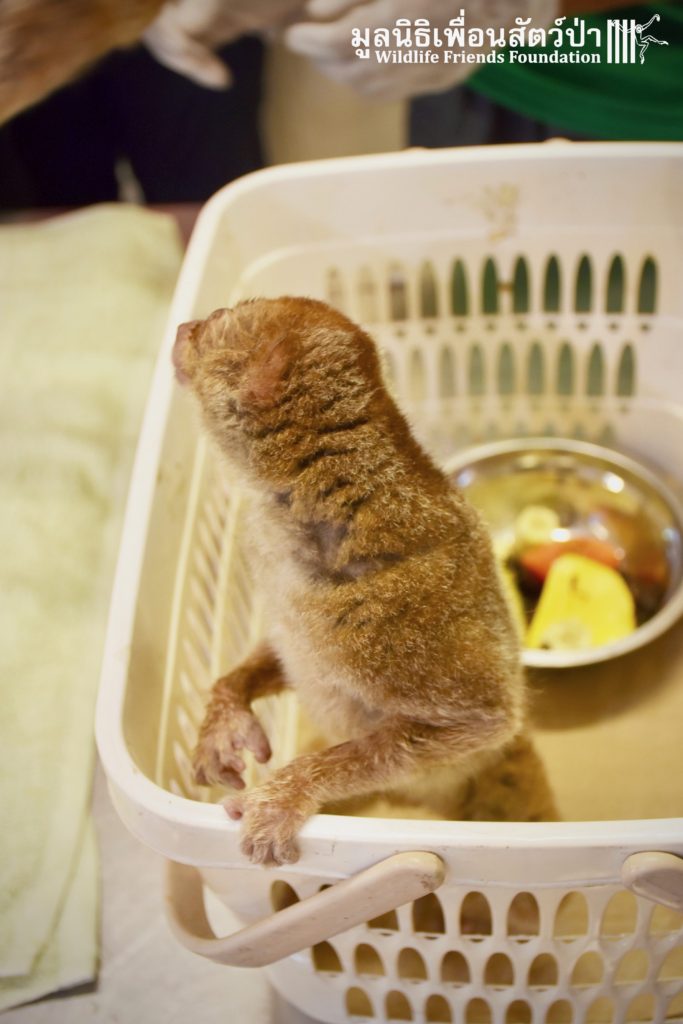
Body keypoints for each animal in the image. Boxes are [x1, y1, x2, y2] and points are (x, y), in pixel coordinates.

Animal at [173, 296, 557, 865]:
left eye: (215, 322)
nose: (183, 327)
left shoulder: (398, 631)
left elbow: (483, 721)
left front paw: (292, 789)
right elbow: (279, 648)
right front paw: (225, 714)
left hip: (504, 770)